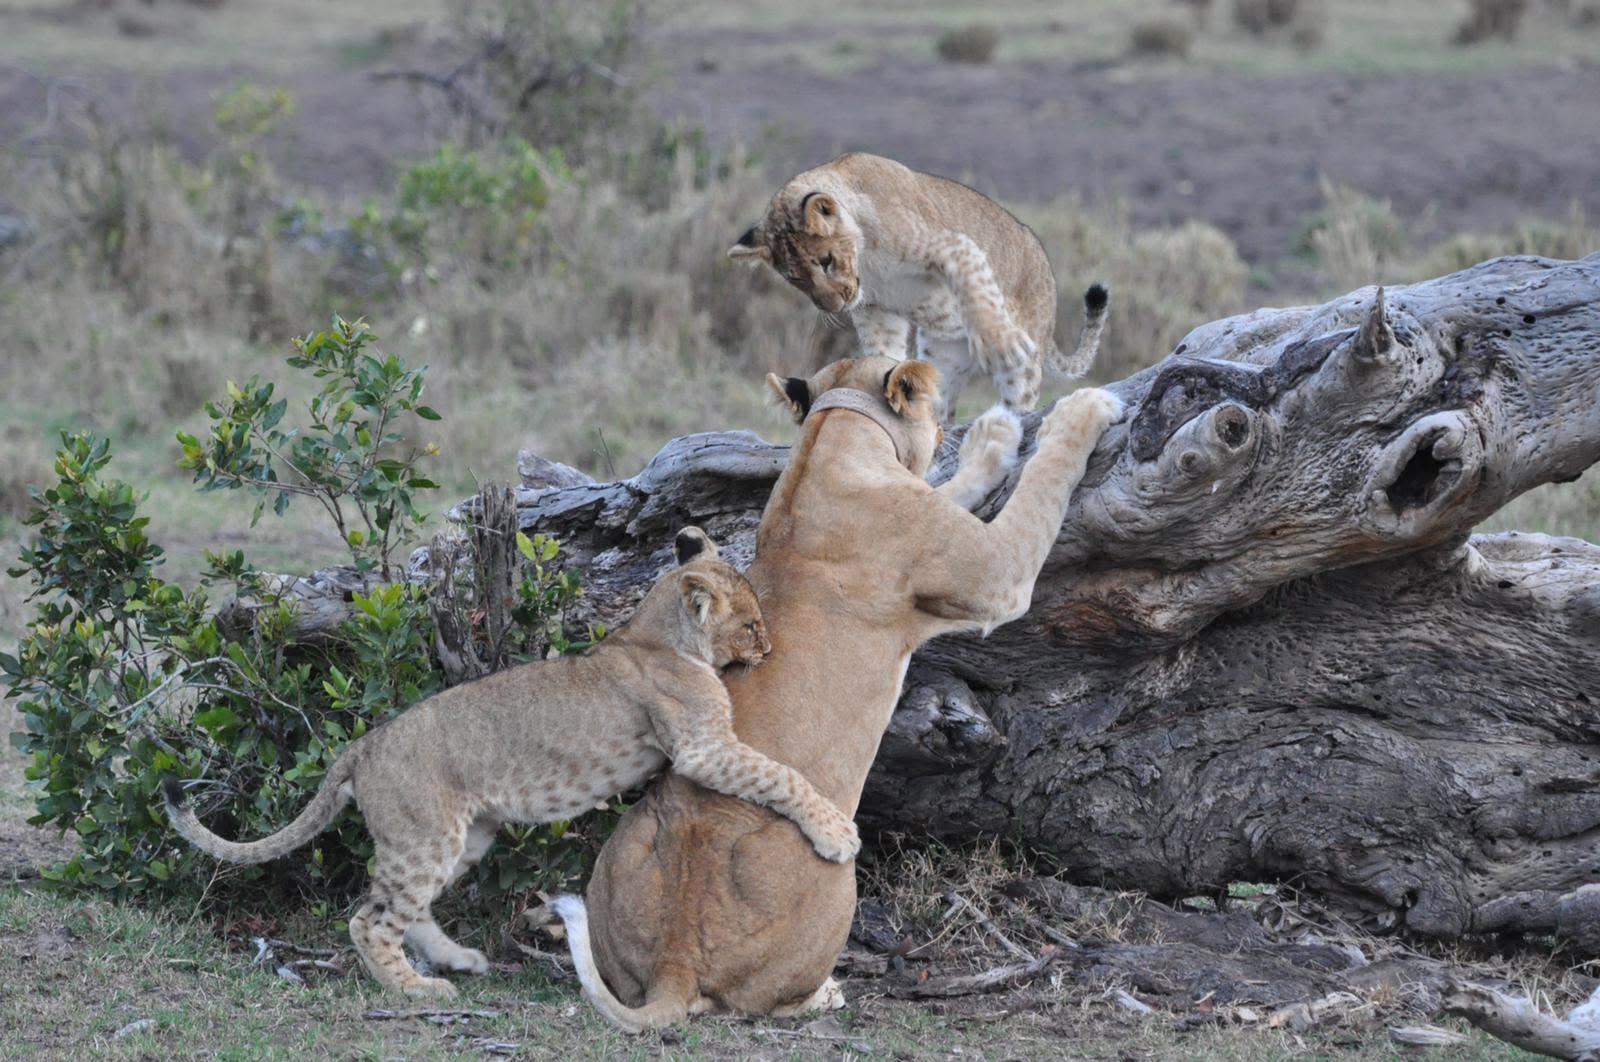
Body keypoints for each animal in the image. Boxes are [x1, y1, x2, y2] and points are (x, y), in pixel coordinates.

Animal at [163, 527, 860, 998]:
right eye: (750, 625)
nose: (768, 649)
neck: (659, 630)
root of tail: (362, 745)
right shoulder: (701, 750)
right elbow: (782, 775)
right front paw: (836, 835)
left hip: (465, 837)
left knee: (406, 908)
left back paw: (460, 961)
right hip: (425, 836)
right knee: (368, 921)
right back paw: (416, 990)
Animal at [552, 356, 1123, 1031]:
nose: (950, 423)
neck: (832, 439)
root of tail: (677, 962)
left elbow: (954, 485)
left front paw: (990, 441)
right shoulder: (995, 575)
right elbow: (1043, 482)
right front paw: (1081, 408)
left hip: (621, 856)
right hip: (839, 877)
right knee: (767, 1002)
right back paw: (826, 994)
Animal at [729, 151, 1109, 418]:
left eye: (826, 261)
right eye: (795, 278)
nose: (833, 306)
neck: (867, 259)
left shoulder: (954, 245)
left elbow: (979, 293)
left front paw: (1000, 342)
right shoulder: (875, 309)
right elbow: (882, 350)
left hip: (1024, 363)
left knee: (1022, 402)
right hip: (942, 356)